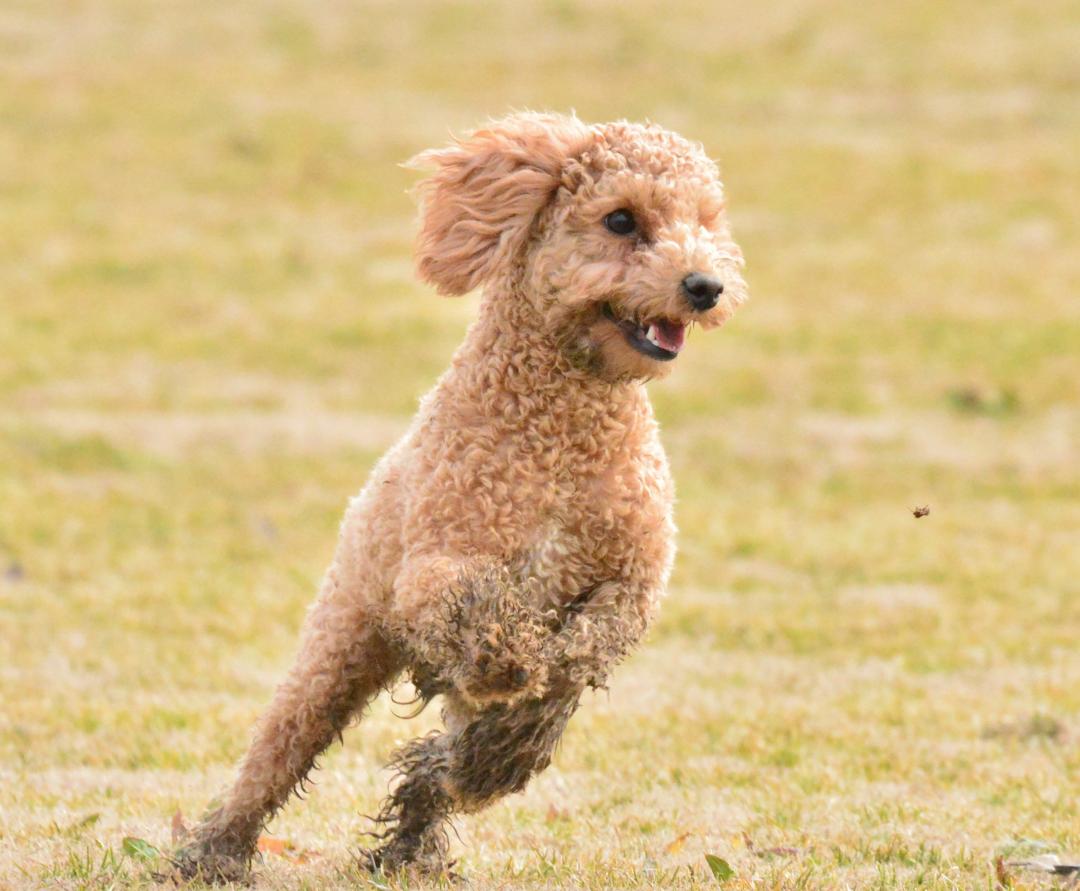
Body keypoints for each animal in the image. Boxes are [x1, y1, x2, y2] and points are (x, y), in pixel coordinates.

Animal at [172, 112, 747, 881]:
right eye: (621, 220)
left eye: (704, 219)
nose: (704, 285)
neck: (565, 427)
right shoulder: (434, 568)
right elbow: (478, 607)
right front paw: (509, 656)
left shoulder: (633, 579)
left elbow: (580, 653)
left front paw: (526, 696)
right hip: (341, 641)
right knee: (278, 749)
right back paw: (216, 851)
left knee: (451, 766)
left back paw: (419, 831)